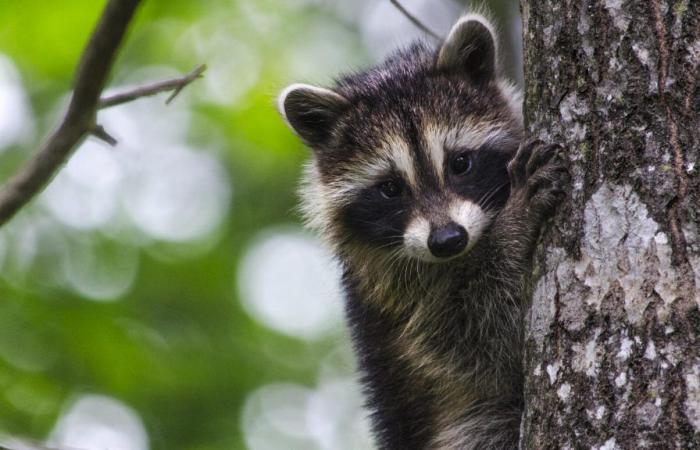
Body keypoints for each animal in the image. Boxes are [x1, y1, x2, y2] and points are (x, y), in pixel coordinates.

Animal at [276, 12, 568, 448]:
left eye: (460, 163)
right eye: (390, 188)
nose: (447, 241)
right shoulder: (400, 296)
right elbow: (482, 340)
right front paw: (513, 224)